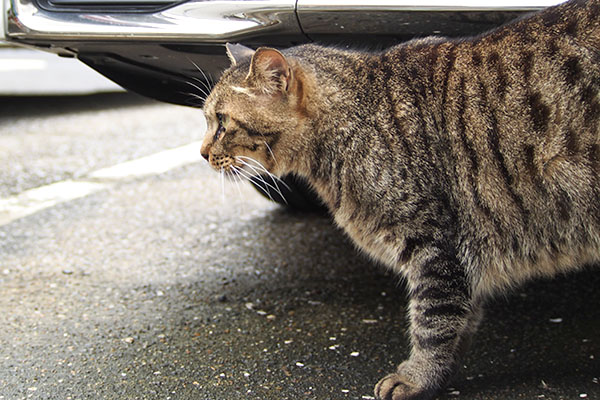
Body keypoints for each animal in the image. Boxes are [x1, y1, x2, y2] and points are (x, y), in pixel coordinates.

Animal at [199, 1, 596, 398]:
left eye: (222, 123)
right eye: (207, 120)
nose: (202, 154)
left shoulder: (436, 248)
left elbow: (433, 321)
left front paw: (418, 377)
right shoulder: (459, 261)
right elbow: (461, 320)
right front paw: (442, 374)